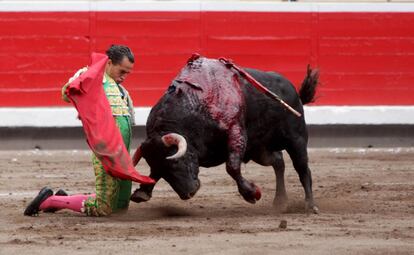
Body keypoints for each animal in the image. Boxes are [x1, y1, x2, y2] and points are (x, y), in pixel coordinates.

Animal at [131, 55, 318, 213]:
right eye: (160, 170)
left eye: (175, 162)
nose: (188, 193)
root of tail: (293, 91)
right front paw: (142, 192)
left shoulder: (236, 131)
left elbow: (232, 166)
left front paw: (252, 193)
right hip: (259, 150)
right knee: (278, 162)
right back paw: (280, 201)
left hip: (296, 139)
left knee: (303, 169)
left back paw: (310, 205)